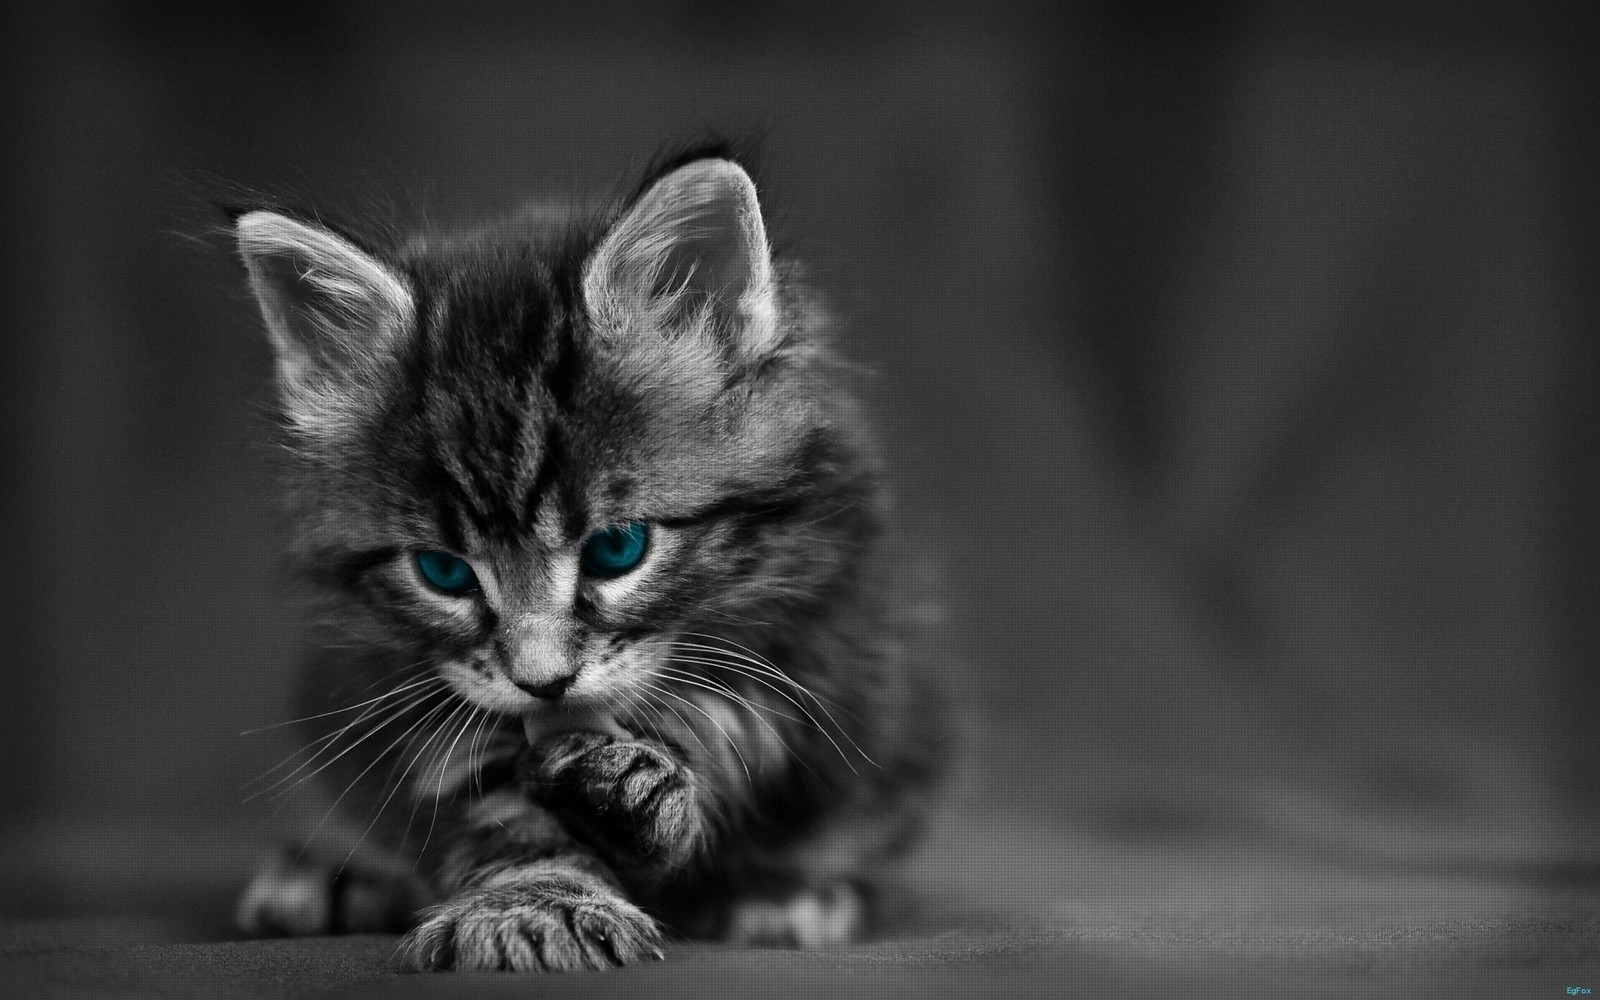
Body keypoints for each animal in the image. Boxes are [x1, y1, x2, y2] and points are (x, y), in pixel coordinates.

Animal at [228, 152, 947, 972]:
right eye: (444, 574)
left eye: (616, 549)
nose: (542, 683)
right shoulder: (410, 698)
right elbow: (500, 814)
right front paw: (534, 904)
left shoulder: (814, 638)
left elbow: (730, 733)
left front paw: (635, 786)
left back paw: (786, 896)